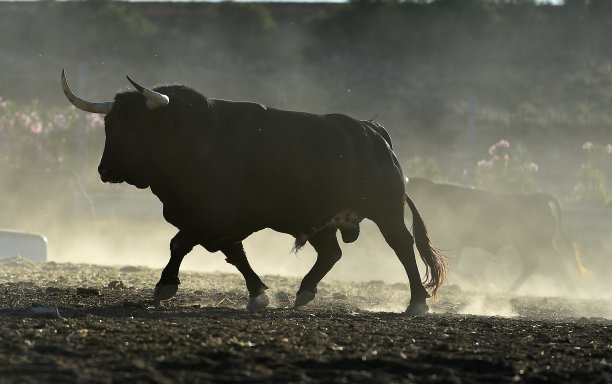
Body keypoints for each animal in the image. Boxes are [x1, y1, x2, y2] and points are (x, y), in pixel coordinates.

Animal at [61, 73, 444, 316]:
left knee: (402, 246)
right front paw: (258, 294)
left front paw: (165, 284)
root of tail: (372, 131)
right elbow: (235, 255)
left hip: (386, 211)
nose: (105, 171)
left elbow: (179, 243)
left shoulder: (211, 215)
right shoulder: (220, 224)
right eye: (109, 124)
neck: (197, 138)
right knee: (331, 253)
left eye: (136, 124)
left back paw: (417, 302)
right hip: (321, 222)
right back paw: (304, 292)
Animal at [404, 177, 584, 292]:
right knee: (534, 264)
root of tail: (539, 198)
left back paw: (573, 289)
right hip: (525, 246)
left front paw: (476, 280)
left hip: (537, 245)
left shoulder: (454, 242)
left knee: (555, 259)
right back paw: (509, 289)